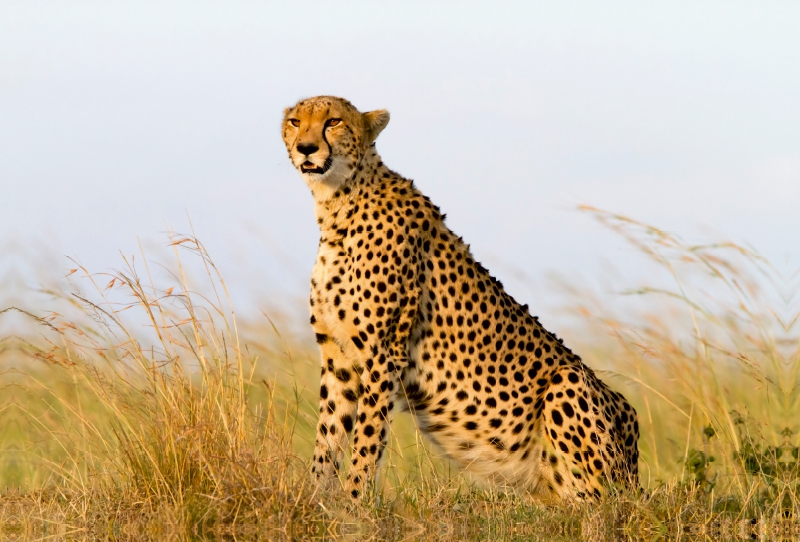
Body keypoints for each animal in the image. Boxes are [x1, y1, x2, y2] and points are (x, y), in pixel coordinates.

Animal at [282, 95, 636, 504]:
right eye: (295, 122)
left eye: (334, 121)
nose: (306, 148)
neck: (338, 203)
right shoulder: (338, 356)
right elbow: (328, 437)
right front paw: (314, 502)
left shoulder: (383, 354)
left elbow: (366, 443)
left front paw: (354, 504)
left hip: (571, 386)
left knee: (597, 503)